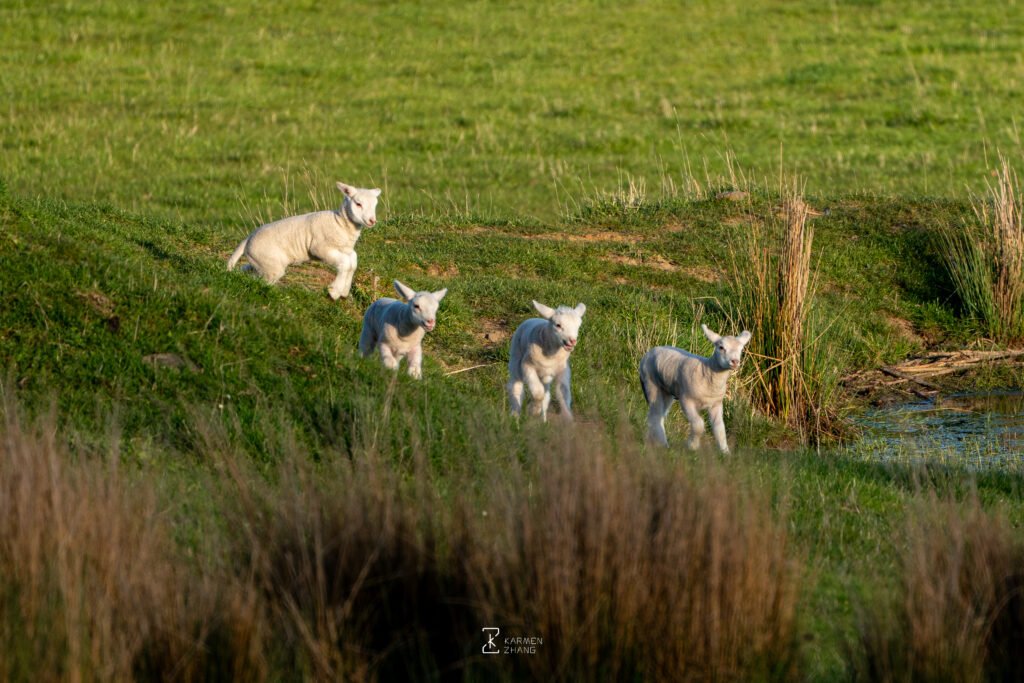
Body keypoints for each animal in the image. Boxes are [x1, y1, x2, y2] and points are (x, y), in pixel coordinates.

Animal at [227, 182, 381, 300]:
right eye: (358, 204)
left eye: (375, 205)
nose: (372, 221)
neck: (340, 223)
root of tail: (248, 238)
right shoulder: (320, 248)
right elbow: (345, 263)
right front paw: (334, 291)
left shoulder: (345, 248)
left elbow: (352, 262)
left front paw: (343, 291)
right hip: (270, 264)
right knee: (262, 281)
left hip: (260, 262)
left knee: (248, 270)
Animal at [639, 324, 752, 453]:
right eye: (721, 347)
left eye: (741, 349)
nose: (735, 361)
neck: (707, 373)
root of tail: (651, 351)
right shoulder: (686, 401)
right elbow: (698, 424)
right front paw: (692, 446)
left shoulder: (716, 404)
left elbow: (719, 428)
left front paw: (725, 452)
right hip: (651, 383)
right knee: (655, 415)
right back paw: (663, 444)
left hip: (666, 391)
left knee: (658, 415)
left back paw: (655, 441)